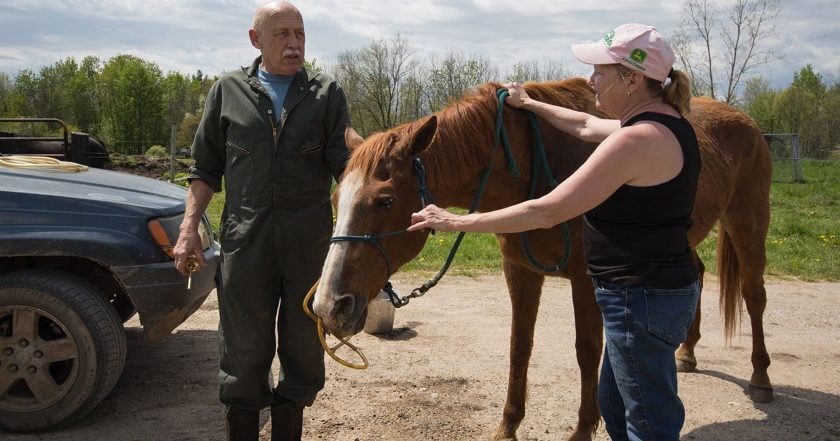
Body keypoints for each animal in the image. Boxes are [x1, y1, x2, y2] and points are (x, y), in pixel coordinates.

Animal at [312, 77, 772, 438]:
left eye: (385, 200)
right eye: (335, 199)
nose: (328, 305)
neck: (532, 164)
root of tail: (748, 123)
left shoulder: (587, 280)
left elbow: (587, 350)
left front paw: (584, 429)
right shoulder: (520, 271)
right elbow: (520, 347)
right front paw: (507, 427)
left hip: (747, 227)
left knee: (754, 297)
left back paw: (761, 377)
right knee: (696, 274)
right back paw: (687, 353)